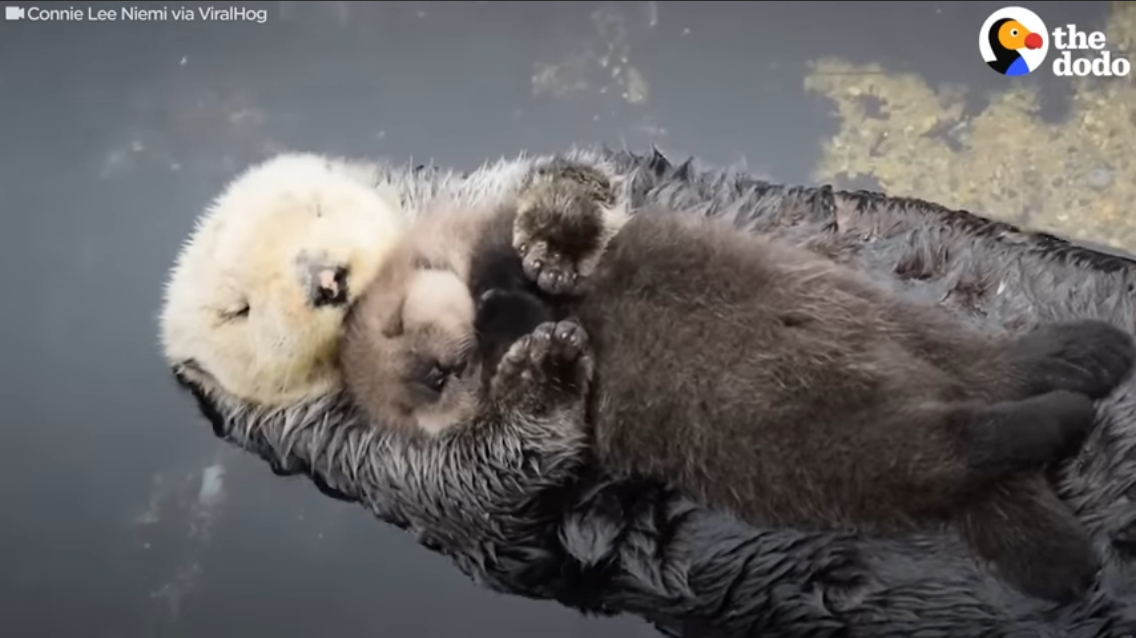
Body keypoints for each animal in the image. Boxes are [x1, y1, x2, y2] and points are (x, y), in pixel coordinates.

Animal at [340, 160, 1136, 604]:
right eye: (424, 370)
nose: (443, 360)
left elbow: (550, 216)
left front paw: (551, 243)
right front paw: (537, 350)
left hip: (890, 320)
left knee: (985, 367)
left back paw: (1083, 357)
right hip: (837, 445)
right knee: (959, 446)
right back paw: (1062, 432)